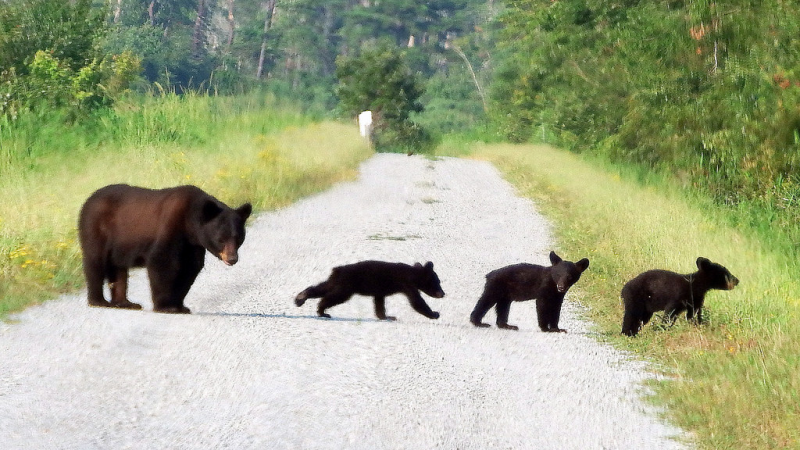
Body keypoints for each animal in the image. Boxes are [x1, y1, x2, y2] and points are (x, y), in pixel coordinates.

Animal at [77, 183, 253, 312]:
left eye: (238, 238)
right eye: (221, 239)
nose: (232, 258)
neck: (189, 223)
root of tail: (88, 200)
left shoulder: (192, 245)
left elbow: (189, 268)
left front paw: (180, 305)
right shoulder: (171, 227)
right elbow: (162, 262)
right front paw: (165, 306)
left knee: (118, 268)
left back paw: (125, 302)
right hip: (96, 229)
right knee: (95, 262)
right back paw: (98, 300)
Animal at [294, 260, 444, 320]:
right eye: (438, 282)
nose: (443, 293)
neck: (413, 273)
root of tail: (338, 269)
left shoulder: (380, 291)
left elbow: (379, 302)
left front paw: (386, 316)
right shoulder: (407, 284)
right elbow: (417, 302)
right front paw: (435, 314)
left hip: (337, 281)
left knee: (323, 287)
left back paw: (301, 298)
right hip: (346, 286)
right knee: (334, 296)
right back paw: (322, 310)